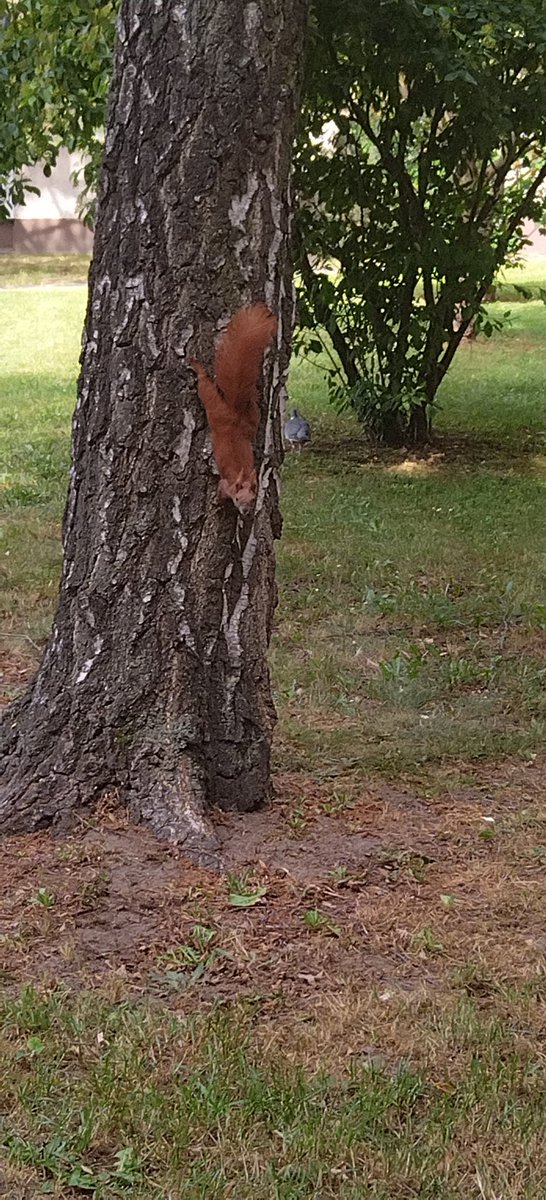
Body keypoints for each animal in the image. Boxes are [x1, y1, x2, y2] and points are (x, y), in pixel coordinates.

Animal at [190, 303, 277, 515]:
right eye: (238, 498)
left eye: (253, 499)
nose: (245, 512)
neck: (242, 477)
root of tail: (233, 412)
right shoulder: (226, 485)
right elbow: (221, 492)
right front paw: (219, 504)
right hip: (215, 408)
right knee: (205, 388)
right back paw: (197, 368)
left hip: (249, 420)